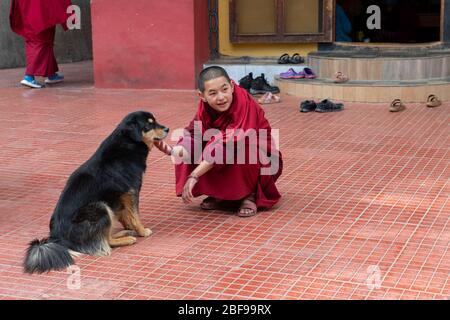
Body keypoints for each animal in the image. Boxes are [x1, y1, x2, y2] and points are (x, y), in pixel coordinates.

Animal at [23, 111, 167, 274]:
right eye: (149, 124)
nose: (167, 129)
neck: (128, 143)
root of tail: (57, 238)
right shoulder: (131, 190)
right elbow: (135, 216)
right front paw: (142, 231)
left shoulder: (120, 197)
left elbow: (126, 215)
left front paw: (130, 227)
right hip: (100, 207)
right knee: (107, 242)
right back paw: (126, 239)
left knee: (105, 236)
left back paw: (123, 233)